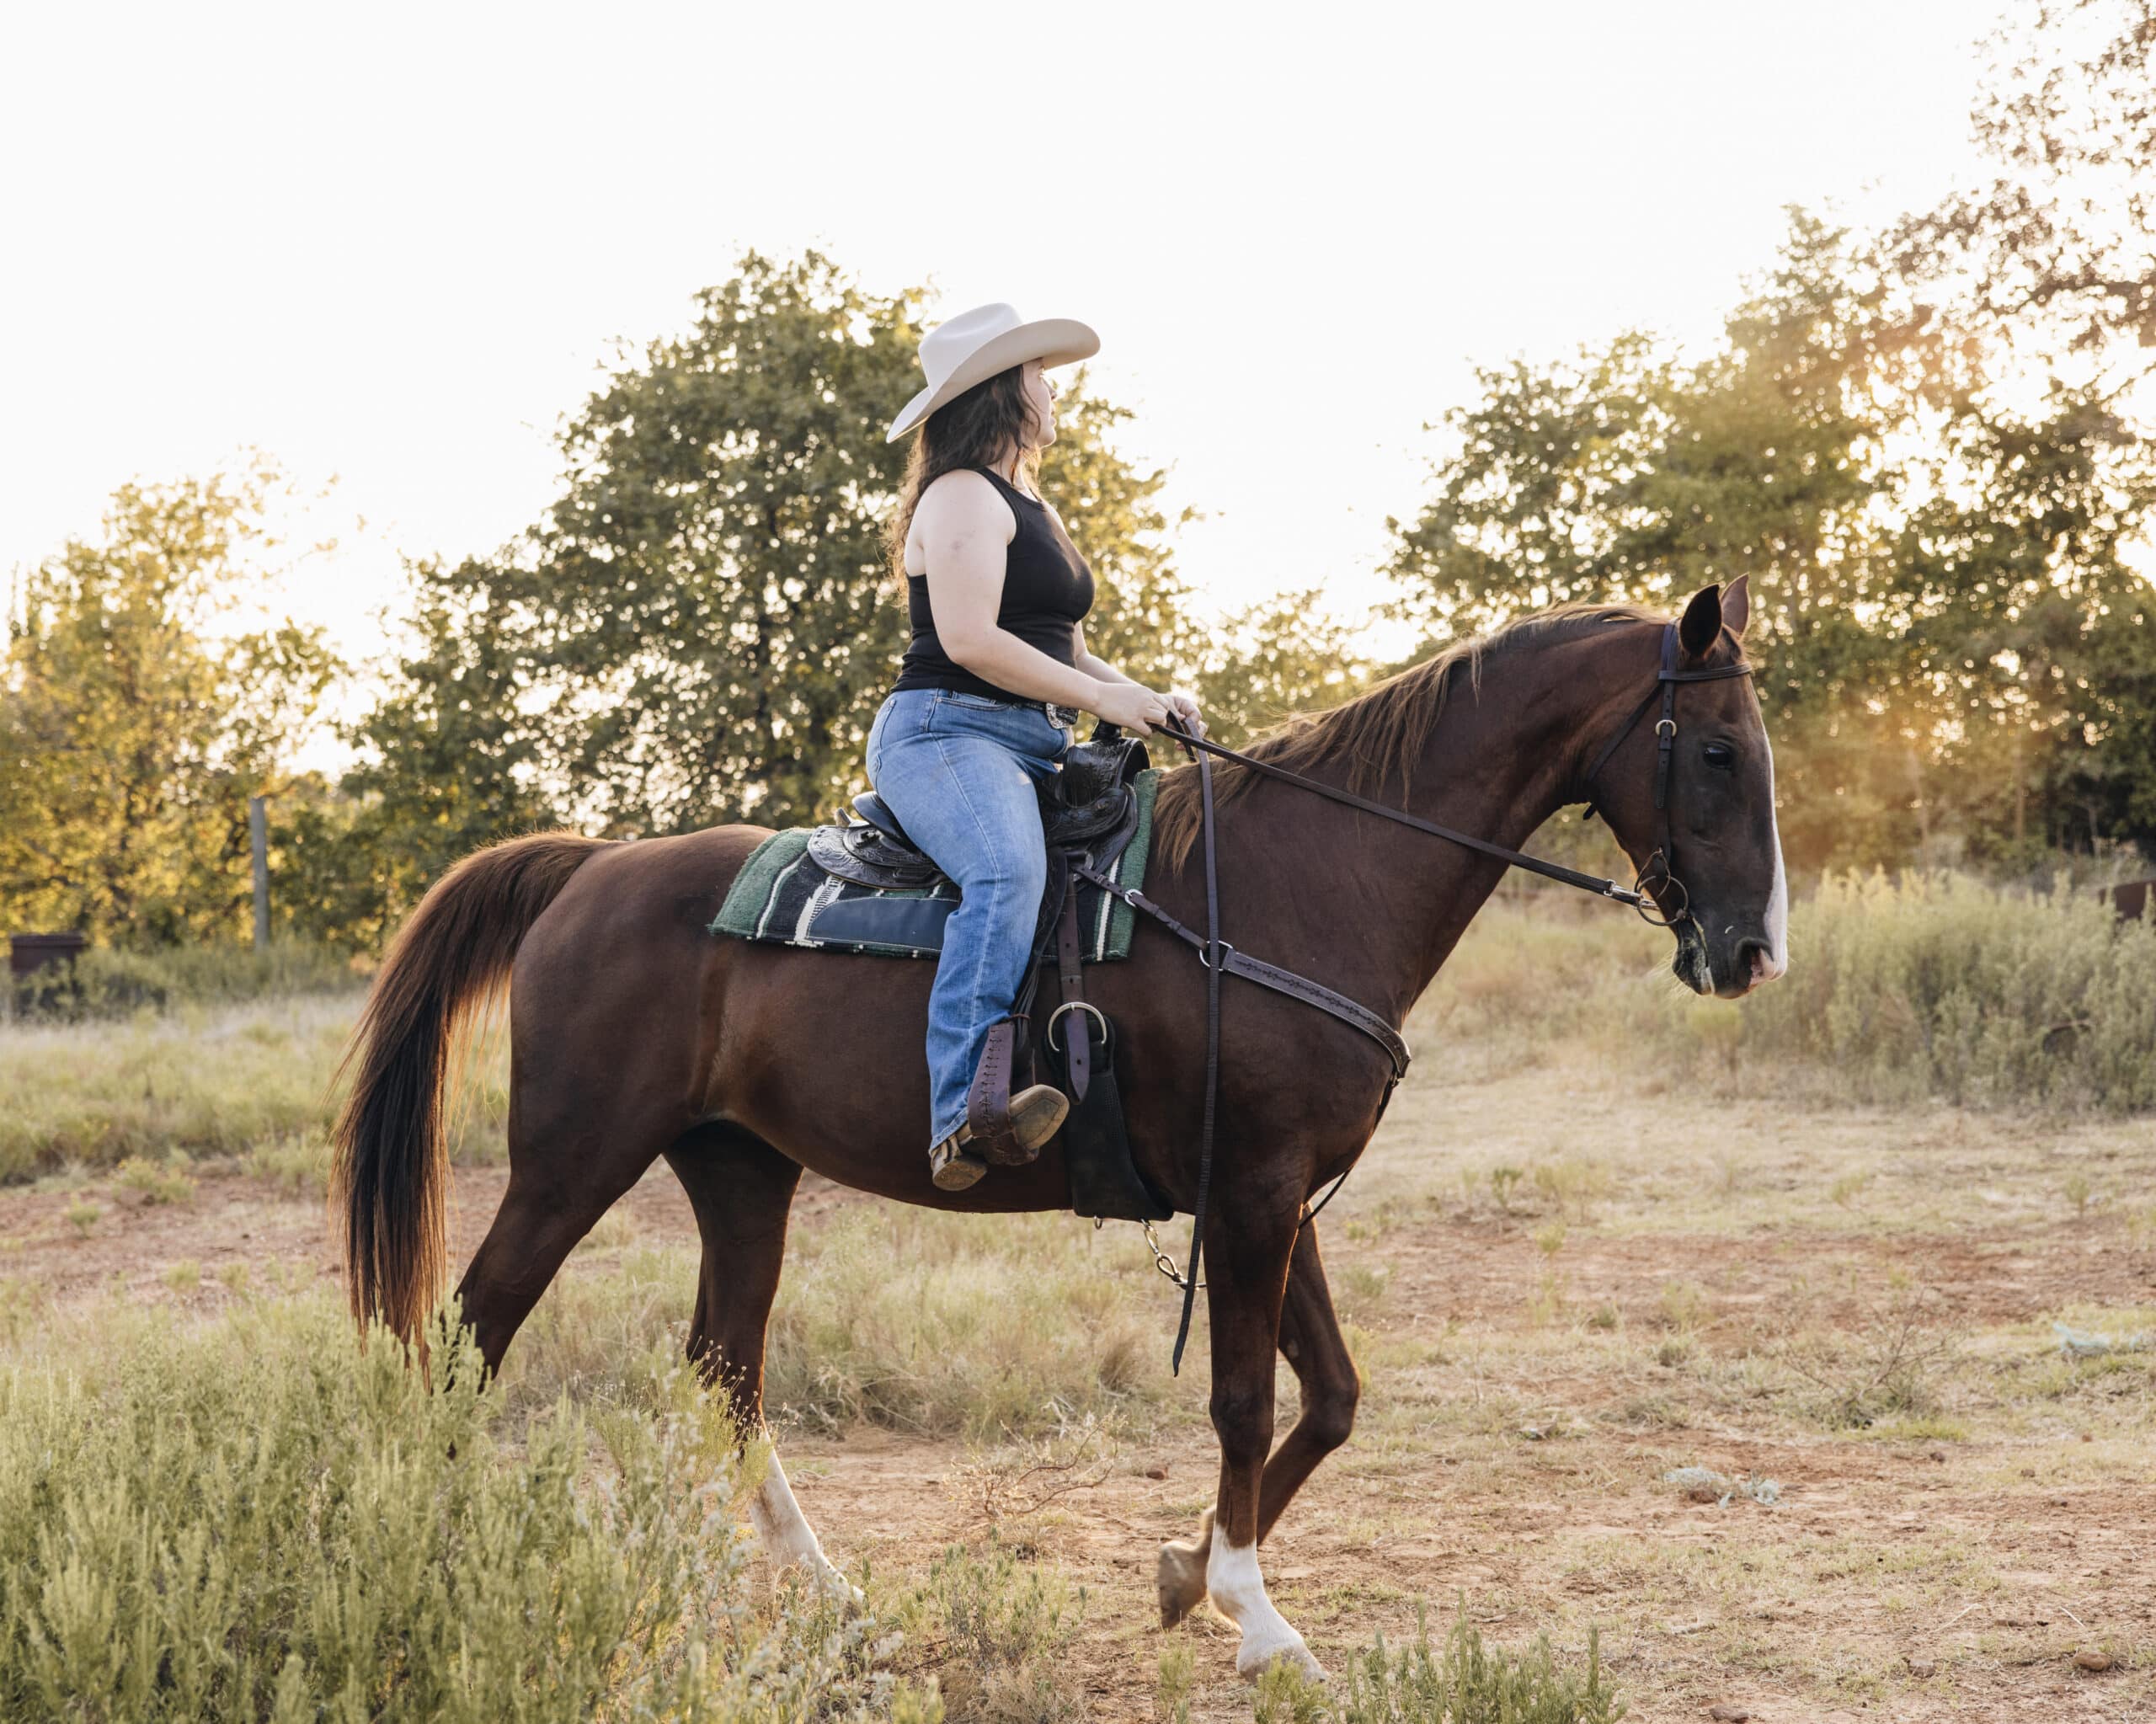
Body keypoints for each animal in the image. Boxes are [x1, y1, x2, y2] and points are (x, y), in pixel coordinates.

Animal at [332, 577, 1785, 1672]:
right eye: (1717, 751)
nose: (1751, 951)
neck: (1305, 879)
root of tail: (592, 866)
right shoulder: (1251, 1195)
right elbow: (1248, 1399)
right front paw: (1255, 1616)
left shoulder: (1272, 1192)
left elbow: (1330, 1398)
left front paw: (1185, 1570)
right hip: (569, 1163)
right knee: (471, 1337)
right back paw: (440, 1556)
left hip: (742, 1172)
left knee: (724, 1370)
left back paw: (808, 1584)